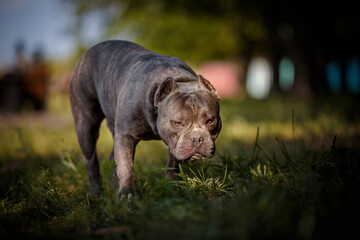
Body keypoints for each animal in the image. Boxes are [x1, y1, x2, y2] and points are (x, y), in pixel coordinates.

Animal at [69, 41, 222, 198]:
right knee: (91, 159)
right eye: (178, 123)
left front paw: (172, 185)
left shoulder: (173, 144)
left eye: (210, 121)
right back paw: (95, 191)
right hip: (86, 125)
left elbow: (172, 164)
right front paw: (128, 192)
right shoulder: (125, 136)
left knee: (112, 158)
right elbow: (126, 166)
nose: (197, 138)